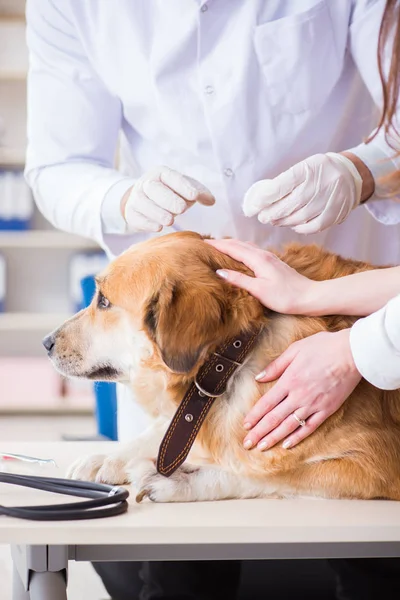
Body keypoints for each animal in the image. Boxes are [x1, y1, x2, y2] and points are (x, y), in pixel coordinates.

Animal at [43, 233, 400, 502]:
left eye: (103, 301)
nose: (46, 343)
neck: (236, 354)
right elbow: (160, 431)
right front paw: (109, 457)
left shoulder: (376, 463)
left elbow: (266, 473)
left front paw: (180, 481)